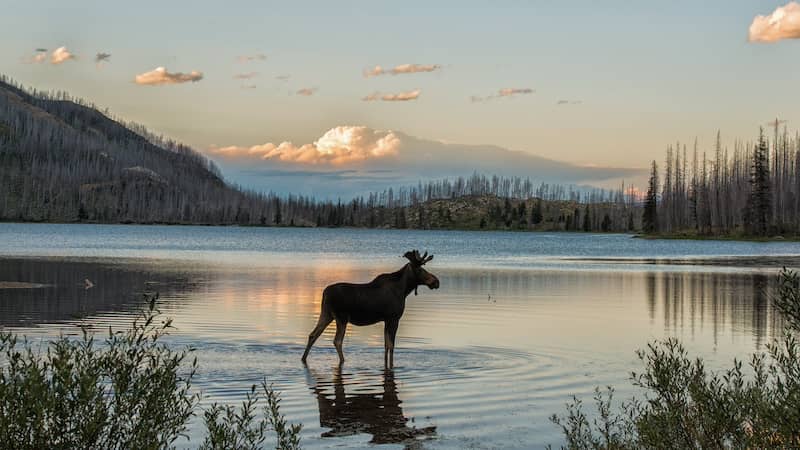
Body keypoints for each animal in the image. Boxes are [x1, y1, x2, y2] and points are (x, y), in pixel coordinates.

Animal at [302, 250, 440, 370]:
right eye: (420, 269)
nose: (436, 282)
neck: (404, 290)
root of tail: (324, 293)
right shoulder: (394, 318)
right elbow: (391, 345)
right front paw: (391, 366)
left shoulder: (386, 320)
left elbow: (386, 345)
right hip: (341, 318)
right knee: (337, 341)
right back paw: (343, 361)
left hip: (327, 314)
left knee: (313, 334)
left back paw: (303, 358)